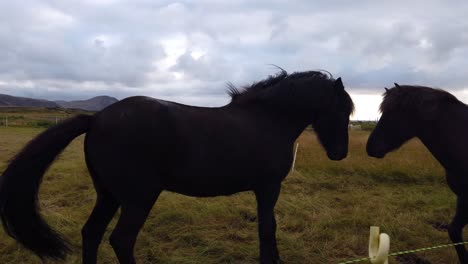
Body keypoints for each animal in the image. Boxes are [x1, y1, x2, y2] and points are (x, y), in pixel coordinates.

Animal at [0, 69, 352, 262]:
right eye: (342, 109)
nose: (340, 153)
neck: (266, 120)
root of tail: (97, 118)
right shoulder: (268, 188)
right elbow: (268, 227)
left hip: (108, 195)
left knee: (92, 233)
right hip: (138, 198)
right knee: (121, 240)